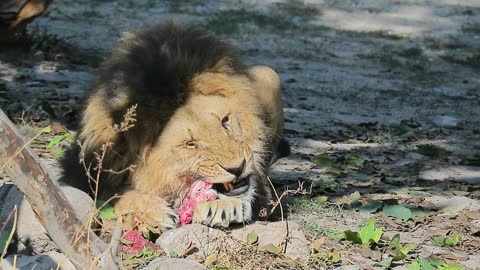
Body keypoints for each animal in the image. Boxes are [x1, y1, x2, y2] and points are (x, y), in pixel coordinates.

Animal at [62, 20, 290, 229]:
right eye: (190, 144)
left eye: (225, 122)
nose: (238, 168)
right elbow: (112, 198)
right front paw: (152, 211)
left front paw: (222, 206)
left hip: (268, 72)